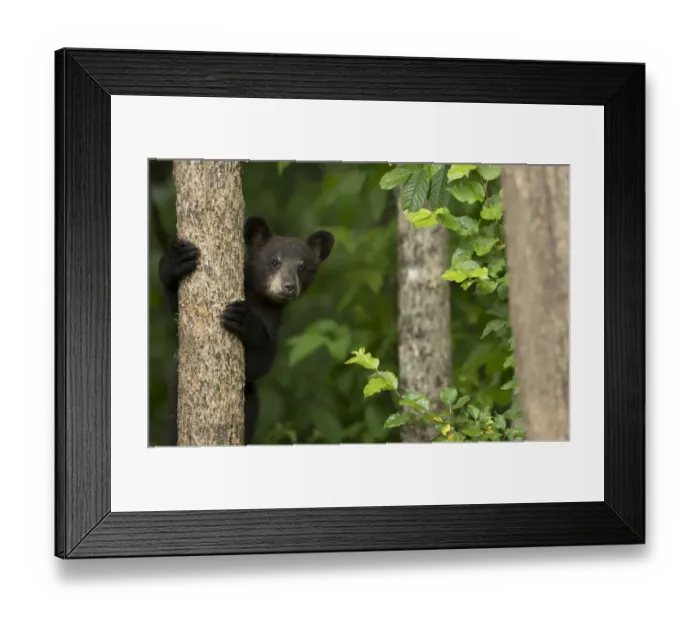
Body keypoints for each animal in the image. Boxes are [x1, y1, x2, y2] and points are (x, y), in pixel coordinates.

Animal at [158, 216, 335, 445]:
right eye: (275, 262)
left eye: (303, 267)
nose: (288, 286)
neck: (258, 298)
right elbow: (177, 310)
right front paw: (176, 261)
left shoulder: (273, 321)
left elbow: (261, 361)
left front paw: (244, 319)